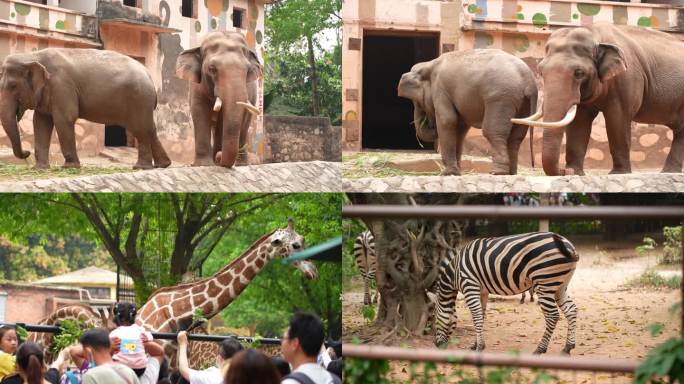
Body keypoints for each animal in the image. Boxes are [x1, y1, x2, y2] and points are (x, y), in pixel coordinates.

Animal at [398, 48, 536, 175]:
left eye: (417, 102)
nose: (430, 123)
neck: (429, 64)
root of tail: (529, 79)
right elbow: (460, 128)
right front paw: (456, 172)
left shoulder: (440, 89)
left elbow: (447, 120)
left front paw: (447, 173)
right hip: (522, 103)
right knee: (516, 136)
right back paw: (511, 173)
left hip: (501, 97)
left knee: (492, 131)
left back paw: (497, 172)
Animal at [432, 231, 576, 354]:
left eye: (435, 321)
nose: (436, 344)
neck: (454, 273)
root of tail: (568, 245)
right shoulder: (482, 291)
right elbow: (481, 316)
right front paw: (476, 344)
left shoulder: (470, 286)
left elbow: (476, 316)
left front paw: (479, 347)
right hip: (560, 285)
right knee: (571, 309)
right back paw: (568, 347)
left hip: (544, 283)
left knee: (553, 315)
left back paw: (540, 349)